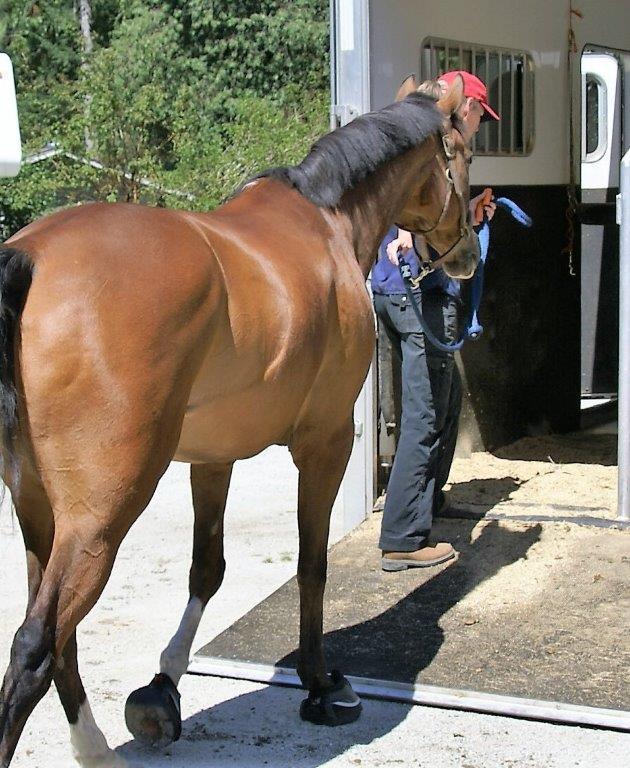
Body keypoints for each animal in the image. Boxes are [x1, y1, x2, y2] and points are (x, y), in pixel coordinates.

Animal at [0, 74, 477, 767]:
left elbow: (208, 568)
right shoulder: (327, 442)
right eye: (462, 153)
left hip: (39, 514)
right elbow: (312, 562)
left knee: (59, 639)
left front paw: (163, 690)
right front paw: (317, 684)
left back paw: (94, 745)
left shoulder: (212, 457)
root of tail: (30, 257)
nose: (466, 252)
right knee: (34, 647)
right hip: (97, 523)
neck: (326, 221)